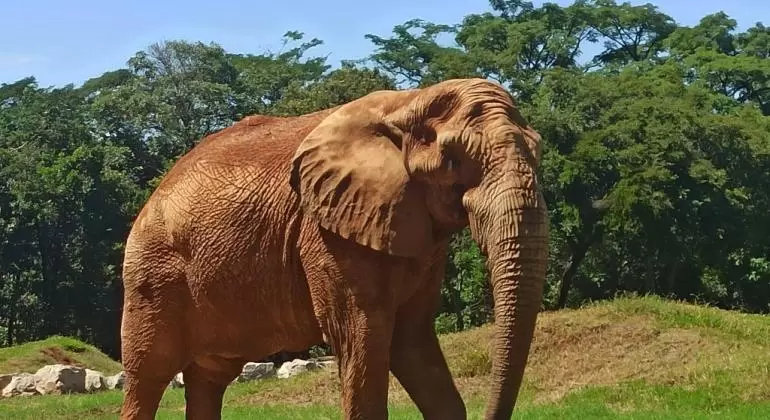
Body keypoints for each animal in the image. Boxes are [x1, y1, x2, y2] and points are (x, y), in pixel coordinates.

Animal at [118, 76, 544, 420]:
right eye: (453, 161)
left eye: (539, 151)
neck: (410, 101)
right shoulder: (326, 232)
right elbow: (362, 336)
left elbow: (414, 341)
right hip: (151, 275)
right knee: (149, 374)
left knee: (209, 378)